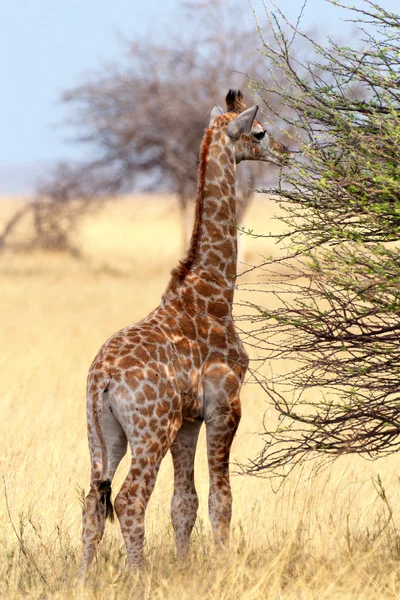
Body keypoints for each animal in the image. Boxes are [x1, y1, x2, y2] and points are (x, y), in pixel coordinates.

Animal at [78, 89, 290, 576]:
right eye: (260, 131)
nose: (288, 152)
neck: (213, 291)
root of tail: (103, 381)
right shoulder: (225, 405)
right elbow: (220, 498)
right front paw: (221, 567)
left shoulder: (188, 420)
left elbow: (184, 503)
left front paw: (184, 566)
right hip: (149, 430)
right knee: (129, 500)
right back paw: (139, 578)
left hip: (103, 434)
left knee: (92, 502)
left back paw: (81, 579)